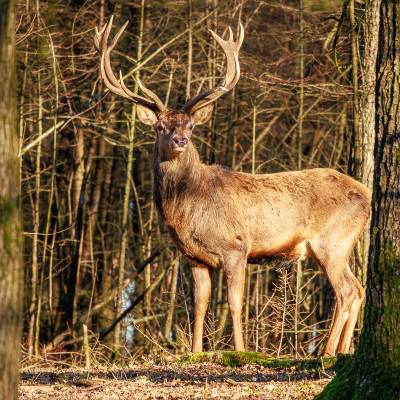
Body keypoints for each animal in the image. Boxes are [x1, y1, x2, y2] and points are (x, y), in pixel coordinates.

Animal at [94, 17, 372, 358]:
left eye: (191, 126)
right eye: (160, 127)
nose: (180, 140)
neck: (187, 209)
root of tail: (368, 194)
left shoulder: (236, 247)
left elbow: (235, 304)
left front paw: (240, 350)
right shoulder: (195, 257)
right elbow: (200, 305)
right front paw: (195, 352)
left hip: (332, 241)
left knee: (346, 292)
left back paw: (327, 352)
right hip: (339, 245)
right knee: (358, 289)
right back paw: (343, 350)